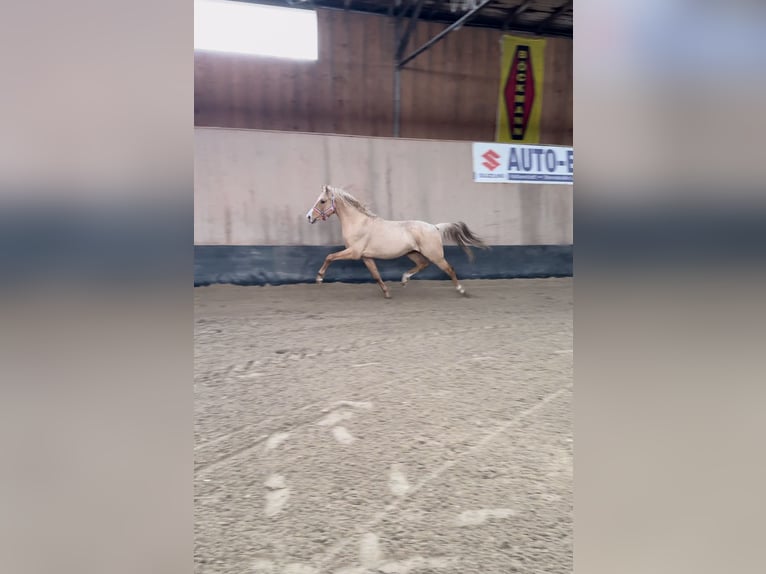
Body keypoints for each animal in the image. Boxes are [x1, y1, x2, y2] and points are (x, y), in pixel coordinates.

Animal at [304, 186, 488, 302]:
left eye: (322, 201)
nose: (309, 217)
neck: (359, 222)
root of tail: (435, 227)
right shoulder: (366, 257)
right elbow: (376, 275)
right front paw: (387, 293)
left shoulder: (354, 252)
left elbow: (330, 256)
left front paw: (319, 278)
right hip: (413, 253)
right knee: (423, 264)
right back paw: (404, 279)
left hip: (434, 255)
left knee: (449, 269)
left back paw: (462, 291)